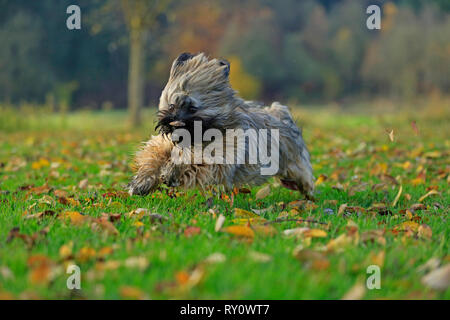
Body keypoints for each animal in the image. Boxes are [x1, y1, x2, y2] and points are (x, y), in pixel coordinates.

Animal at [127, 52, 312, 200]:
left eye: (192, 108)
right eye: (172, 105)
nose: (173, 121)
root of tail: (280, 113)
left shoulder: (219, 159)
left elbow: (194, 162)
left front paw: (172, 172)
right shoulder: (164, 144)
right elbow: (153, 156)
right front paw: (141, 183)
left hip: (294, 164)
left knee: (304, 175)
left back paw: (308, 193)